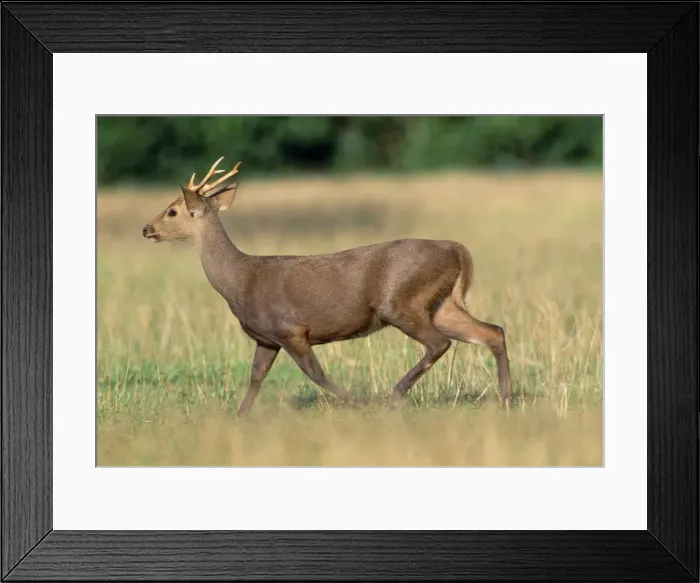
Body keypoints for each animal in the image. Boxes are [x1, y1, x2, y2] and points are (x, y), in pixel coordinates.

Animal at [142, 157, 513, 414]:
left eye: (172, 211)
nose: (146, 229)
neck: (240, 282)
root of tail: (459, 250)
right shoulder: (266, 338)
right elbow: (256, 376)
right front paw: (239, 416)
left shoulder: (291, 329)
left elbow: (315, 373)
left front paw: (357, 402)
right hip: (442, 304)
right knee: (492, 331)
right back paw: (505, 398)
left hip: (401, 301)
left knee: (439, 343)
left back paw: (395, 395)